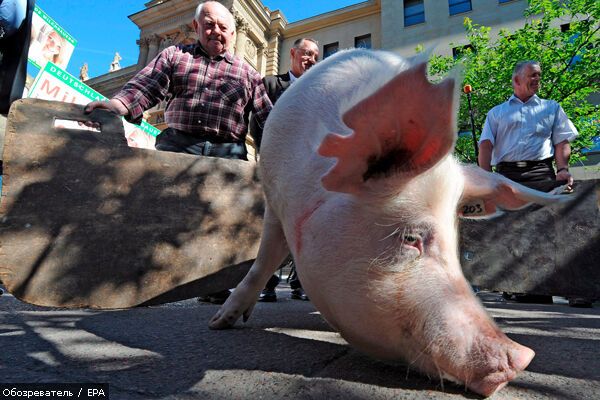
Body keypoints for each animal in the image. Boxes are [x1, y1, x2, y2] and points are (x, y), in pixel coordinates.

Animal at [211, 48, 572, 396]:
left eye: (456, 244)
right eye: (411, 237)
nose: (522, 358)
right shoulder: (274, 199)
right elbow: (263, 261)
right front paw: (220, 323)